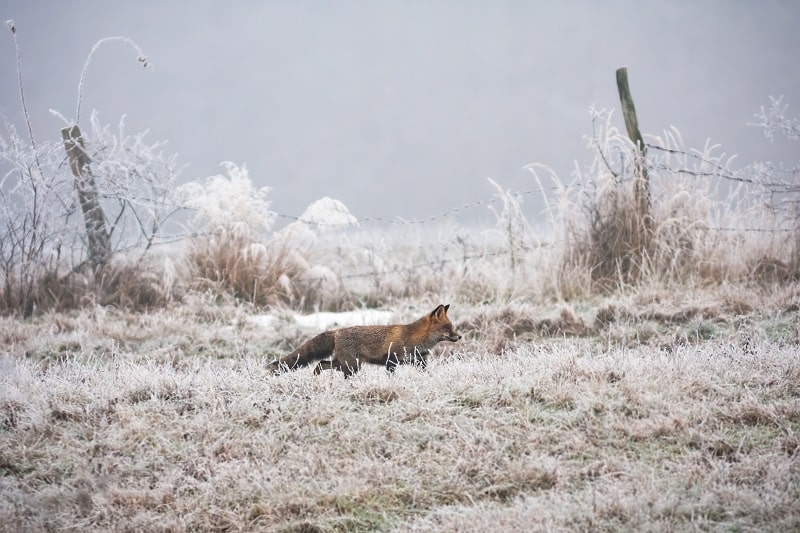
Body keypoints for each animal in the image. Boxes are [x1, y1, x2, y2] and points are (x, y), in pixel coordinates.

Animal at [268, 306, 462, 376]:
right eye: (447, 328)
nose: (459, 337)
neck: (414, 339)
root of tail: (337, 331)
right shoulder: (391, 361)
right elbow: (391, 377)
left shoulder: (419, 362)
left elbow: (427, 374)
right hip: (352, 366)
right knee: (328, 367)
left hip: (345, 364)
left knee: (321, 364)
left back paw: (315, 379)